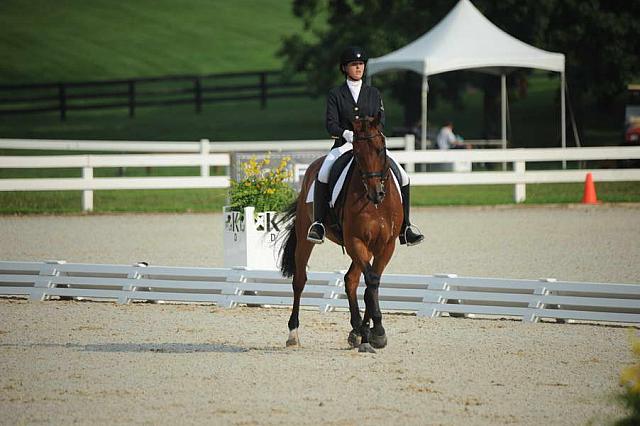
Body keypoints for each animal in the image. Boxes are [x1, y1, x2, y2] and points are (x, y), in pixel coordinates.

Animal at [278, 114, 400, 352]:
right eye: (357, 153)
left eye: (381, 149)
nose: (376, 193)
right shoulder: (355, 241)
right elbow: (371, 281)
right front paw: (377, 332)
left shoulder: (385, 245)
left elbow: (372, 283)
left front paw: (368, 333)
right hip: (307, 238)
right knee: (299, 281)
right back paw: (293, 334)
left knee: (351, 279)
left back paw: (356, 331)